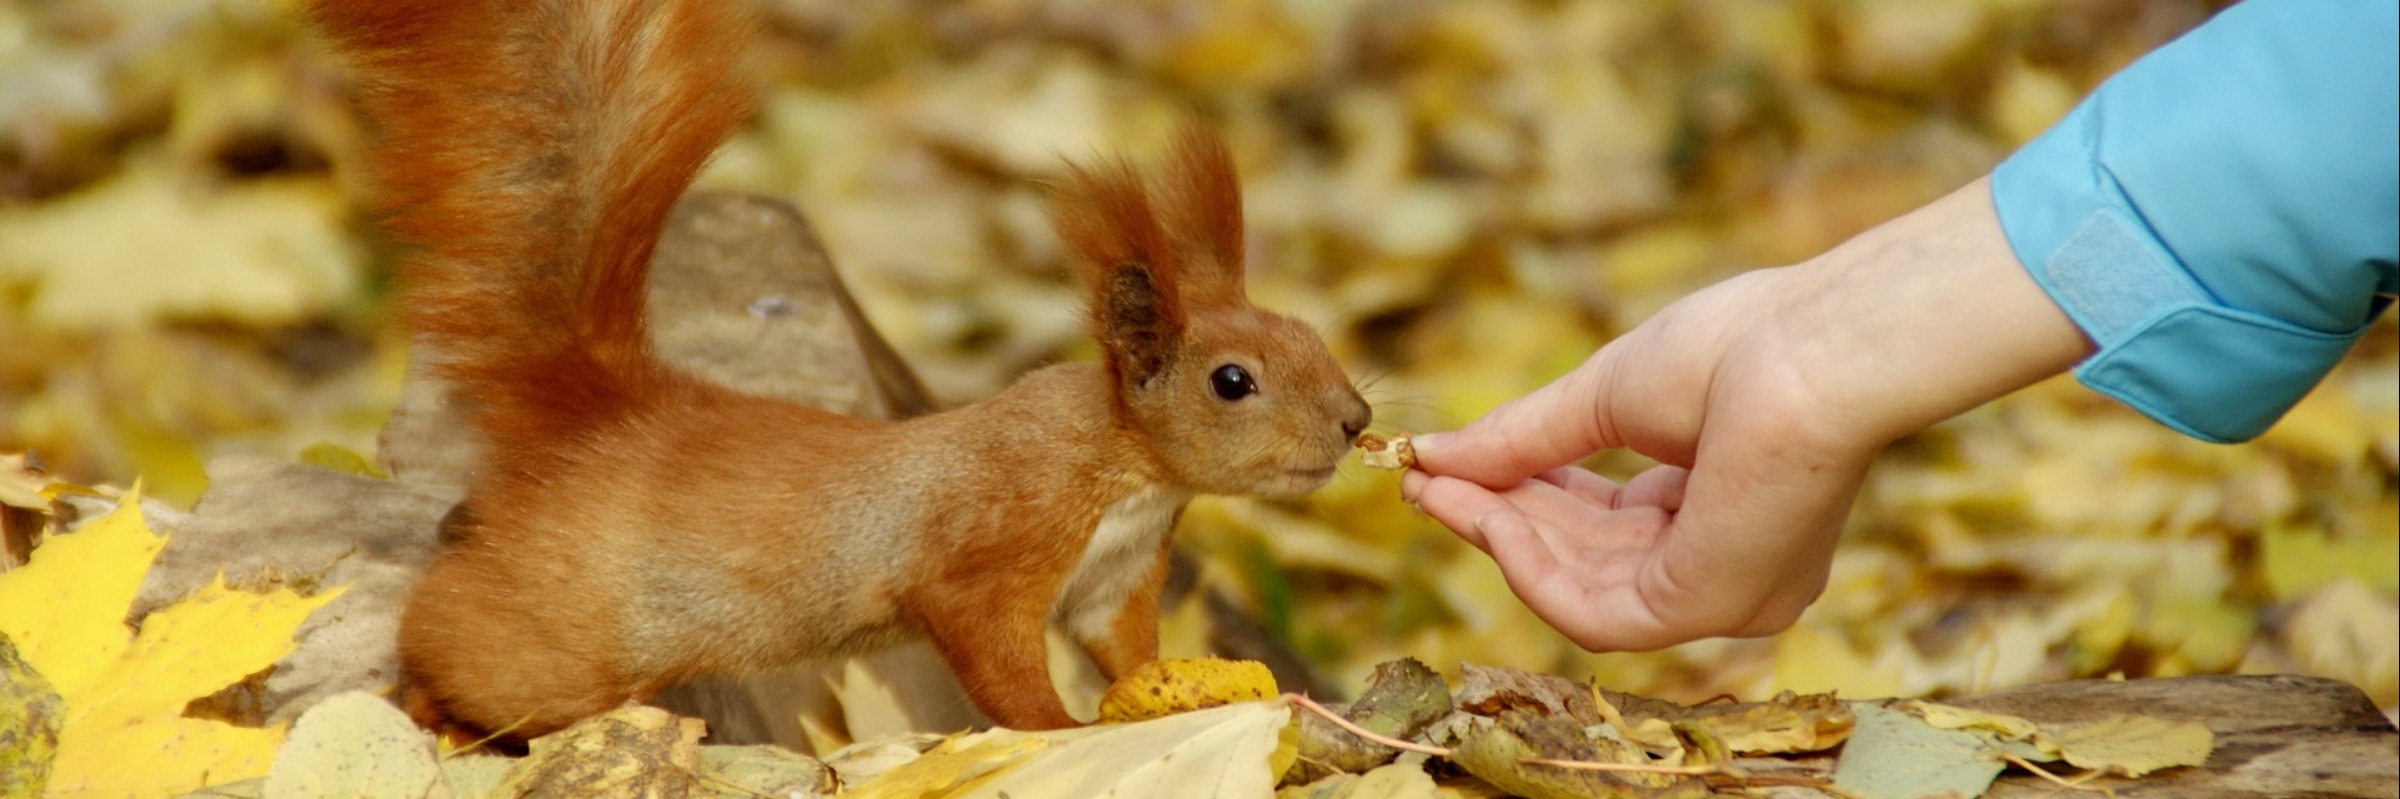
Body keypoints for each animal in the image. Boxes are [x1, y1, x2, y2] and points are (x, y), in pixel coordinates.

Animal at [316, 0, 1372, 739]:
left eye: (1312, 336)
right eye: (1232, 380)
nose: (1357, 419)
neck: (1125, 464)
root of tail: (615, 412)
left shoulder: (1116, 580)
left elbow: (1130, 651)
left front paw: (1180, 695)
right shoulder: (992, 540)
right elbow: (997, 659)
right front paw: (1058, 726)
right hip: (563, 635)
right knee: (451, 627)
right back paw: (426, 700)